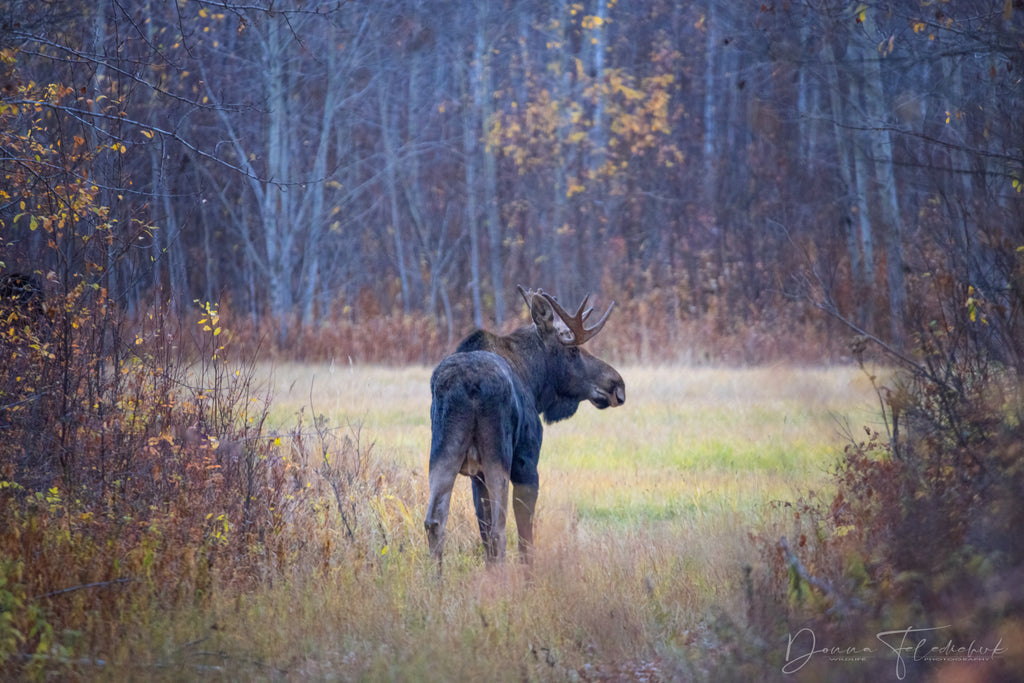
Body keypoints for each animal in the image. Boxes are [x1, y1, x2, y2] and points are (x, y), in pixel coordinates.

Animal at [421, 284, 622, 573]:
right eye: (573, 351)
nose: (617, 384)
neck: (534, 381)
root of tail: (468, 384)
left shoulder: (476, 476)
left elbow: (483, 530)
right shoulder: (527, 463)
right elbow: (525, 537)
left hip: (442, 450)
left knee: (435, 522)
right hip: (499, 454)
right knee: (499, 530)